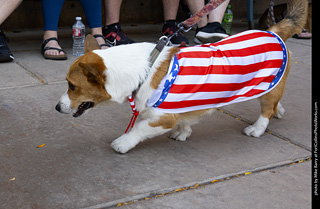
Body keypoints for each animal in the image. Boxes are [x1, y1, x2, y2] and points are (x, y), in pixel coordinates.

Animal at [55, 0, 308, 153]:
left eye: (72, 86)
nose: (56, 108)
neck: (143, 71)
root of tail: (273, 31)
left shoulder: (161, 118)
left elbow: (139, 129)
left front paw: (123, 143)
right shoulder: (182, 107)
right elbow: (185, 120)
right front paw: (183, 133)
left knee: (266, 110)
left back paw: (257, 128)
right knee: (274, 103)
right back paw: (279, 111)